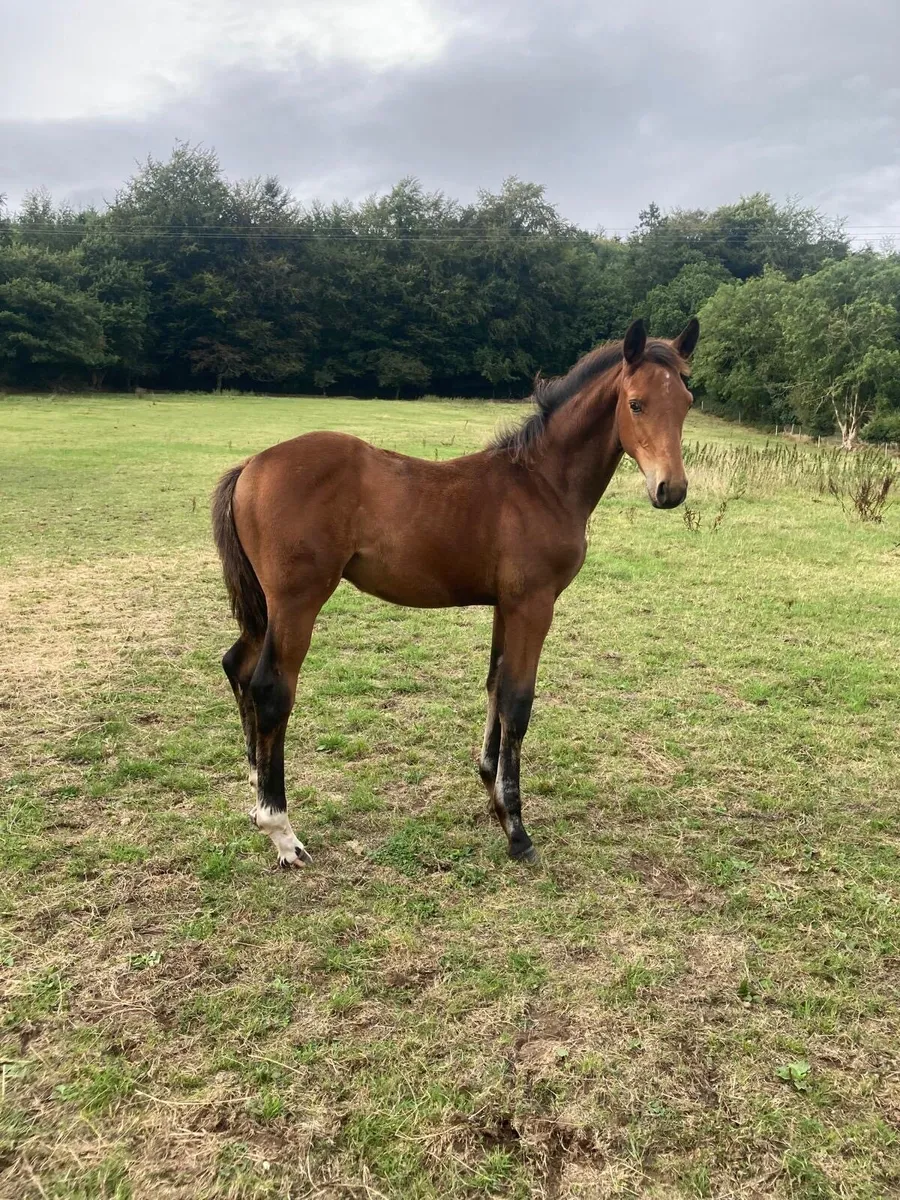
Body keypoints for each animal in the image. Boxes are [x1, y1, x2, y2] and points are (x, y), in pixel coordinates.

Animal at [212, 317, 699, 869]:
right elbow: (518, 701)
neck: (541, 484)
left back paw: (255, 786)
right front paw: (516, 829)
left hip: (265, 606)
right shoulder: (534, 605)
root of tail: (251, 466)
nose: (671, 490)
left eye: (686, 401)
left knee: (237, 665)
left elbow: (494, 685)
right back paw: (281, 831)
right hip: (297, 602)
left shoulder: (506, 606)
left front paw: (491, 791)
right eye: (636, 403)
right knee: (270, 688)